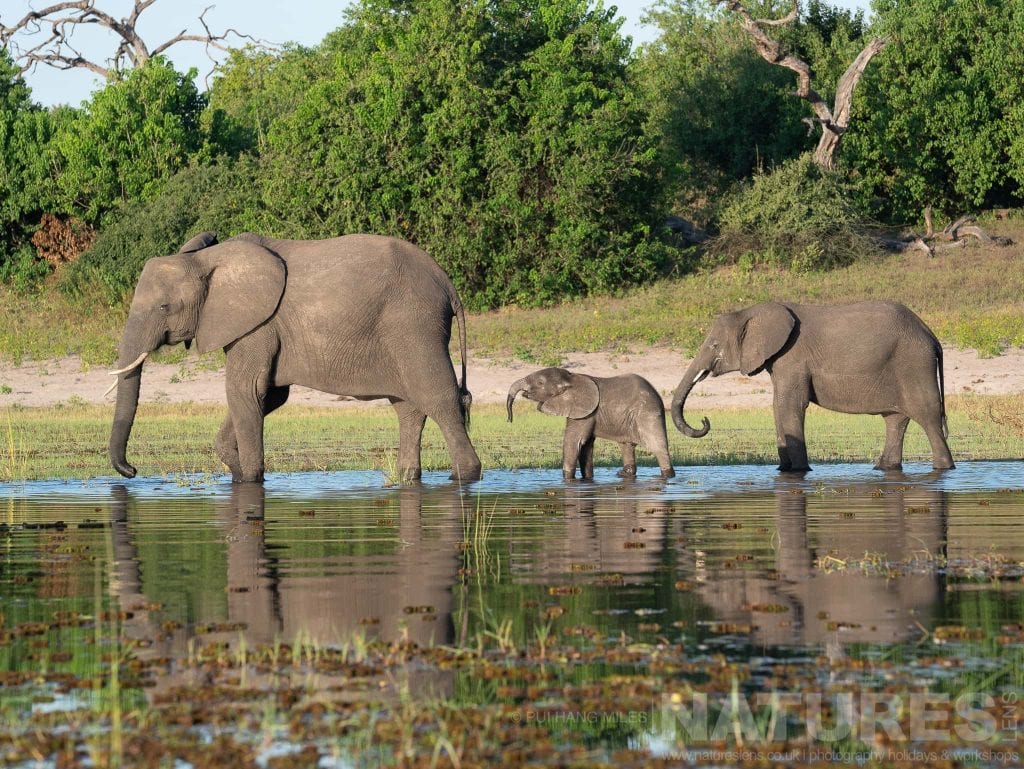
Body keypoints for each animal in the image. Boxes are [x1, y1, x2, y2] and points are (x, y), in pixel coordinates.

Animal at [107, 232, 482, 483]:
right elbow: (268, 395)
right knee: (408, 407)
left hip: (415, 326)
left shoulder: (258, 324)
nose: (132, 470)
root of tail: (447, 285)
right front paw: (237, 469)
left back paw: (465, 476)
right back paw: (408, 477)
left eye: (164, 307)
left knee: (440, 400)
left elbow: (245, 391)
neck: (208, 259)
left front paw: (250, 478)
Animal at [506, 367, 676, 480]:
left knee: (658, 447)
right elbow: (586, 445)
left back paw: (668, 476)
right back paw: (623, 474)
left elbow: (573, 441)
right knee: (626, 445)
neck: (572, 378)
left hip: (647, 414)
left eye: (540, 382)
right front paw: (587, 479)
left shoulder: (584, 411)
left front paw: (567, 479)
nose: (509, 419)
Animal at [671, 300, 955, 473]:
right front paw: (783, 470)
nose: (705, 420)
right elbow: (778, 406)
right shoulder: (780, 362)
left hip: (914, 364)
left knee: (928, 418)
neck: (753, 311)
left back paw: (944, 469)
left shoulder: (793, 358)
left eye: (714, 345)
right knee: (895, 420)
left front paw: (799, 471)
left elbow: (790, 406)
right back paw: (884, 468)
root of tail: (931, 336)